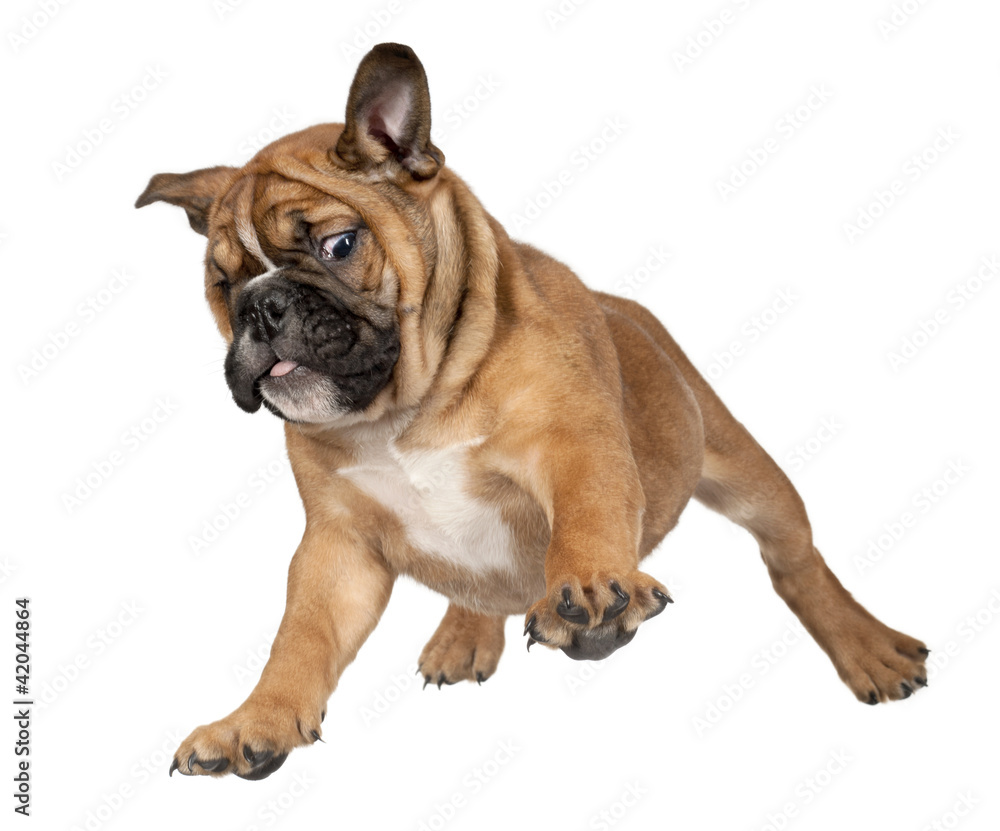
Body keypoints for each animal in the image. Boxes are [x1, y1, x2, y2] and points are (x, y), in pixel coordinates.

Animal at [135, 42, 928, 784]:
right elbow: (301, 635)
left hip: (744, 471)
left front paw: (593, 590)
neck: (407, 409)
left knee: (795, 561)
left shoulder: (576, 449)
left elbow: (586, 520)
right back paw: (466, 632)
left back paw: (868, 648)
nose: (261, 306)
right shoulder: (339, 544)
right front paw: (256, 719)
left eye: (338, 245)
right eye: (221, 285)